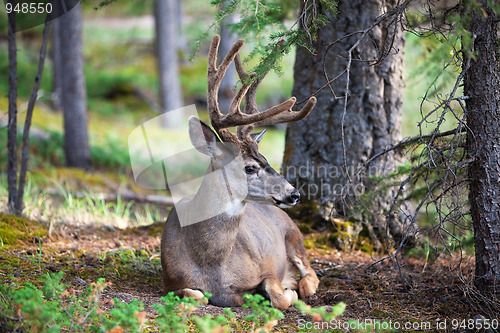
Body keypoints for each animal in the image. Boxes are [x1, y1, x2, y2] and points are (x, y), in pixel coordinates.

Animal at [162, 35, 322, 308]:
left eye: (267, 158)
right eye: (250, 167)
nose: (294, 194)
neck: (210, 263)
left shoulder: (265, 267)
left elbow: (279, 298)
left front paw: (288, 292)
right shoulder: (171, 282)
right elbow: (195, 295)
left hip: (295, 237)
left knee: (311, 274)